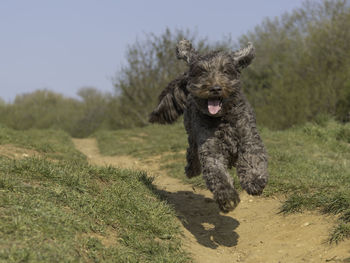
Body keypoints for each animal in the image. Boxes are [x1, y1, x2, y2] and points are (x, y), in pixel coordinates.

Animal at [148, 39, 268, 214]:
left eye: (225, 71)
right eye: (202, 72)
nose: (215, 88)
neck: (222, 118)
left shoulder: (249, 138)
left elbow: (252, 158)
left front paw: (254, 181)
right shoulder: (211, 148)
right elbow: (217, 173)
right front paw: (227, 198)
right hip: (191, 132)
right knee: (192, 152)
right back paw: (192, 169)